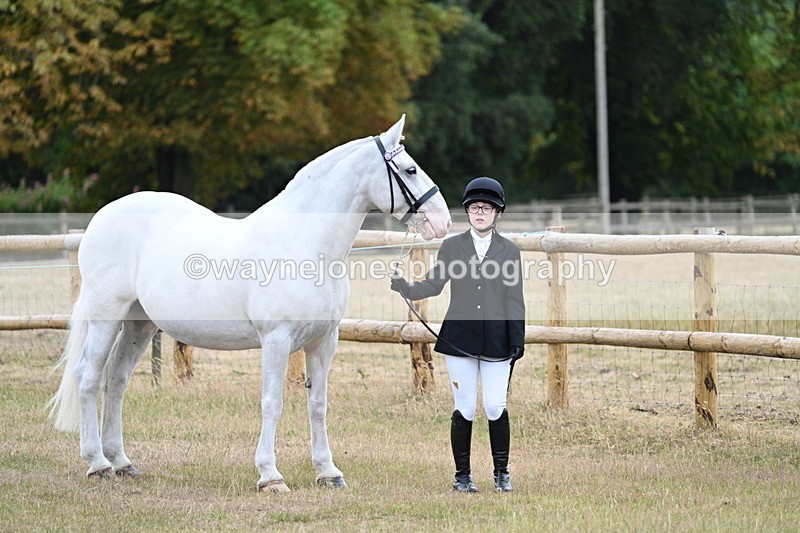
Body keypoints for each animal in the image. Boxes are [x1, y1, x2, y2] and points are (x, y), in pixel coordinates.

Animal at [47, 115, 452, 492]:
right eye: (411, 169)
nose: (443, 221)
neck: (305, 243)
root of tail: (101, 218)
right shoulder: (276, 339)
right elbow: (272, 403)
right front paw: (270, 476)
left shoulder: (324, 341)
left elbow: (318, 405)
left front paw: (328, 472)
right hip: (107, 316)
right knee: (89, 377)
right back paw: (98, 463)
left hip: (139, 323)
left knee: (116, 380)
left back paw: (121, 462)